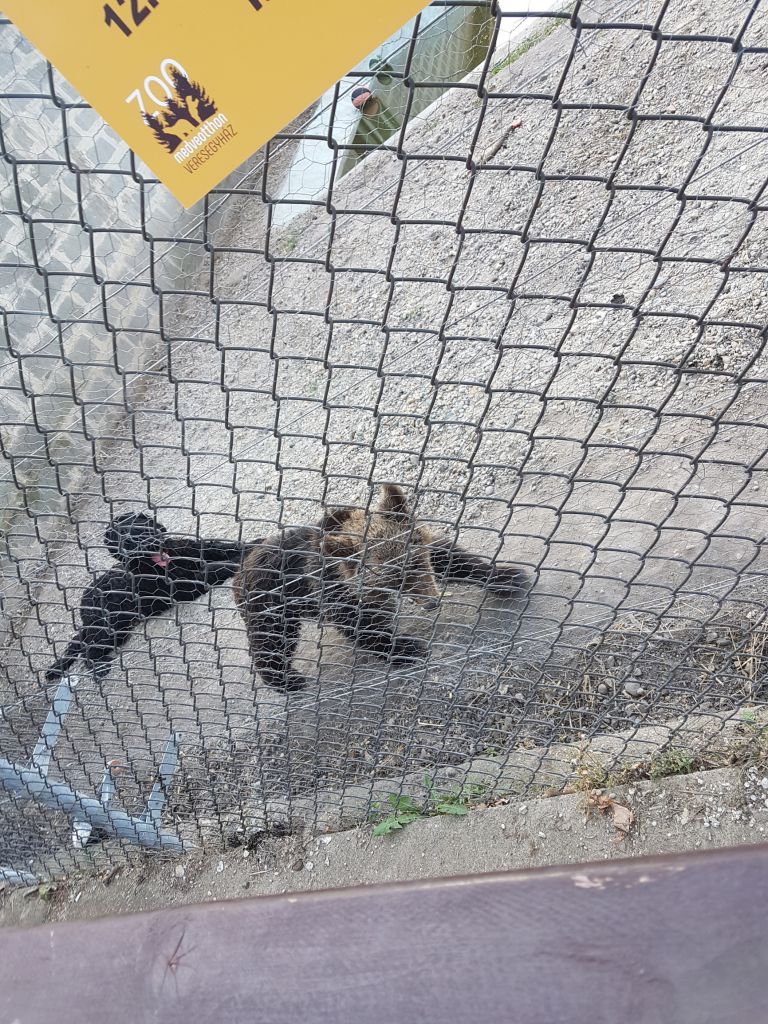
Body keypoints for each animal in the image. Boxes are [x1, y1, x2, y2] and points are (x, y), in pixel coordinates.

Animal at [46, 512, 262, 682]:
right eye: (125, 541)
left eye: (139, 528)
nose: (147, 544)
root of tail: (84, 608)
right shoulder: (187, 584)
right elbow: (218, 567)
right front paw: (241, 561)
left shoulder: (197, 550)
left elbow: (223, 547)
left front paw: (255, 544)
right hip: (111, 627)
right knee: (88, 650)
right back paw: (99, 667)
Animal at [233, 484, 527, 693]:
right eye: (392, 579)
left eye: (415, 562)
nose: (431, 602)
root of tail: (242, 567)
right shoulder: (332, 588)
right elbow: (361, 625)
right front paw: (406, 648)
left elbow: (450, 558)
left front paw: (506, 577)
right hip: (270, 602)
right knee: (271, 640)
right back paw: (286, 680)